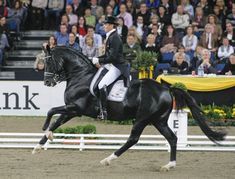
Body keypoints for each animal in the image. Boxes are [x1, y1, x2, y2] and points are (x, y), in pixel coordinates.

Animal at [32, 46, 226, 171]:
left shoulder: (76, 108)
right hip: (159, 120)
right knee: (172, 138)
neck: (80, 75)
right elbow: (56, 121)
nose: (47, 82)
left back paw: (108, 159)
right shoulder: (72, 111)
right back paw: (169, 165)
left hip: (142, 118)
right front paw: (39, 146)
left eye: (49, 62)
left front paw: (45, 130)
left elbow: (51, 111)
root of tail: (166, 89)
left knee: (133, 139)